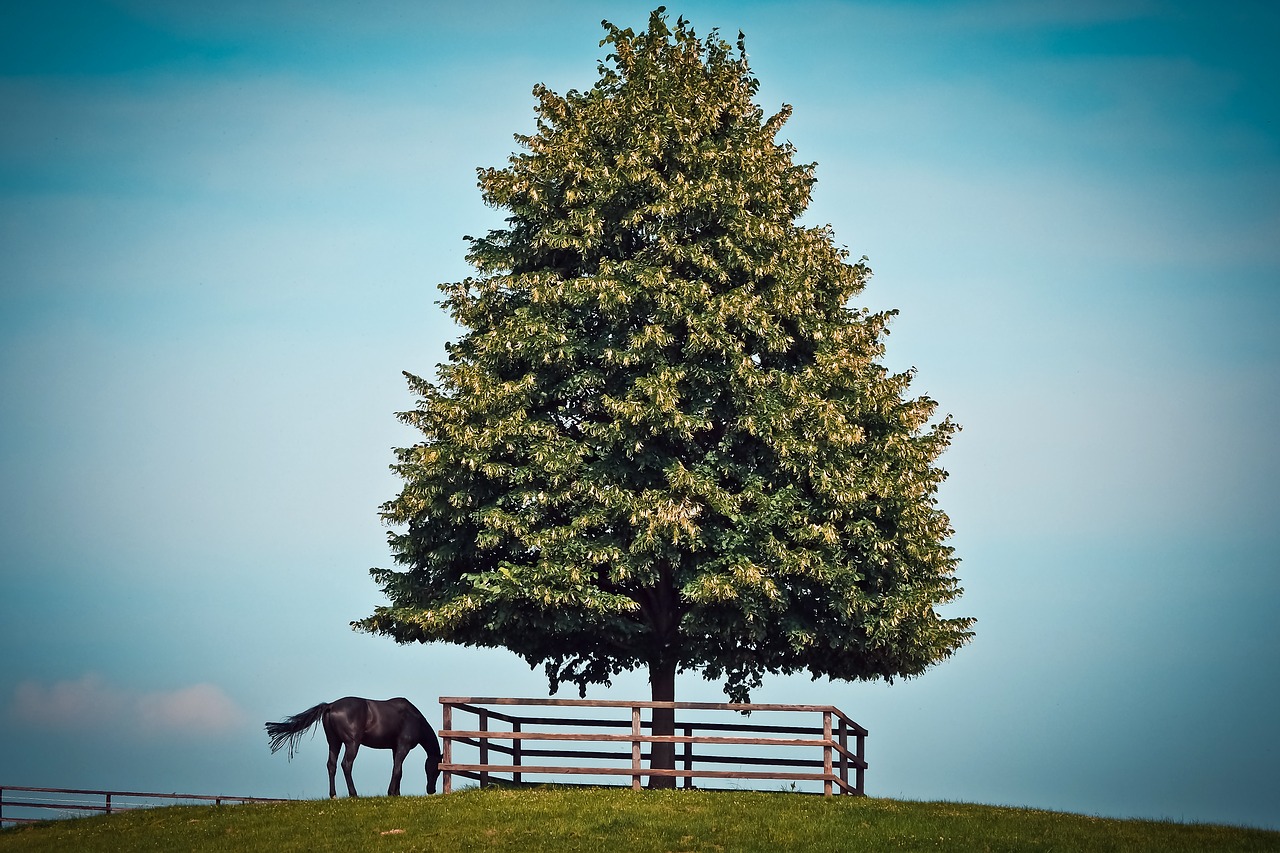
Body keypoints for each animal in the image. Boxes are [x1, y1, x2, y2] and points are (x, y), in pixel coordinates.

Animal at [263, 696, 440, 794]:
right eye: (437, 770)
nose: (431, 790)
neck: (414, 719)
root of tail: (330, 705)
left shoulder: (395, 748)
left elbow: (399, 770)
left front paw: (397, 793)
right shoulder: (403, 747)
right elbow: (397, 770)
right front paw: (391, 792)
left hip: (334, 742)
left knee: (331, 765)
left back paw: (333, 795)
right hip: (352, 744)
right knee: (346, 765)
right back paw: (353, 793)